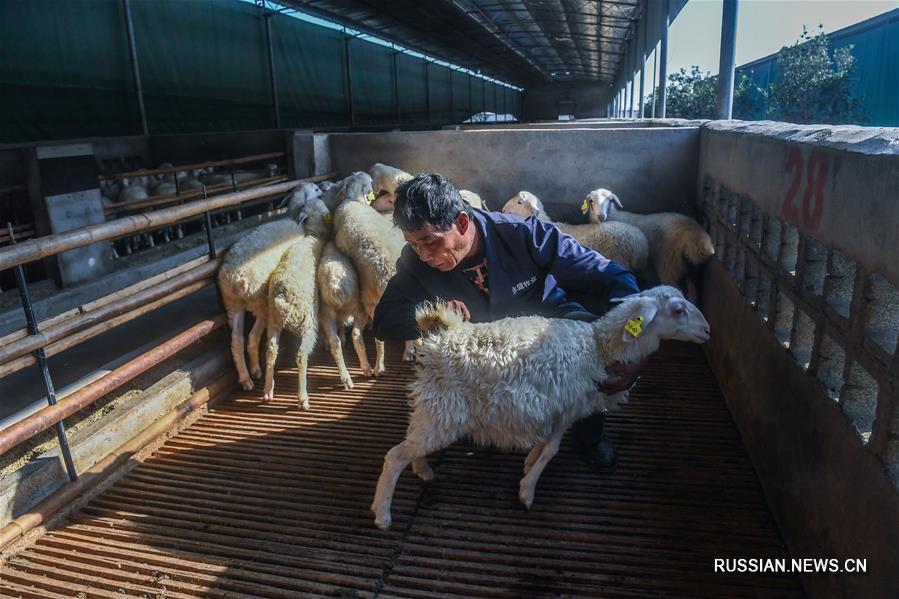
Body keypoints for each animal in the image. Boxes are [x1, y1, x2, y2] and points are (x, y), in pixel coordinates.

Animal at [218, 180, 324, 392]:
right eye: (316, 189)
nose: (323, 190)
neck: (293, 217)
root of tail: (237, 280)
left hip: (232, 304)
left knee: (236, 341)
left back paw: (245, 378)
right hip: (261, 303)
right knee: (252, 338)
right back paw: (255, 370)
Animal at [264, 197, 334, 408]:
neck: (313, 238)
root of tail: (282, 296)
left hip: (273, 321)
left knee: (270, 352)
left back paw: (268, 390)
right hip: (307, 322)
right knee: (301, 356)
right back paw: (302, 397)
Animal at [370, 286, 712, 528]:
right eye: (678, 310)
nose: (707, 330)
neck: (598, 349)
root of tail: (438, 339)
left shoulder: (557, 409)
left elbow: (542, 448)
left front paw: (527, 466)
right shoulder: (566, 408)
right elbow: (551, 451)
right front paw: (527, 491)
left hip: (434, 410)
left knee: (411, 446)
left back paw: (424, 470)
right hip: (443, 410)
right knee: (394, 457)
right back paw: (383, 515)